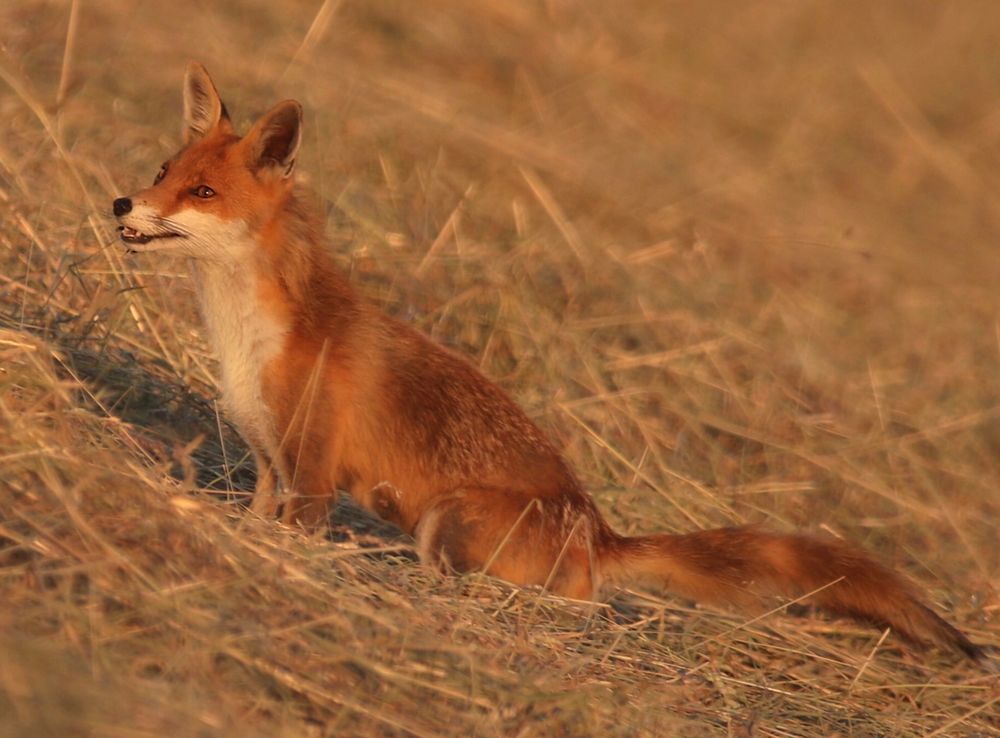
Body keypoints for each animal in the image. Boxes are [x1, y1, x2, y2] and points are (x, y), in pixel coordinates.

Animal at [111, 63, 984, 660]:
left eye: (202, 193)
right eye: (161, 172)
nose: (123, 203)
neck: (248, 335)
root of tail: (601, 531)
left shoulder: (316, 470)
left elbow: (301, 529)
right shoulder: (268, 462)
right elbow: (253, 517)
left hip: (448, 522)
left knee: (574, 603)